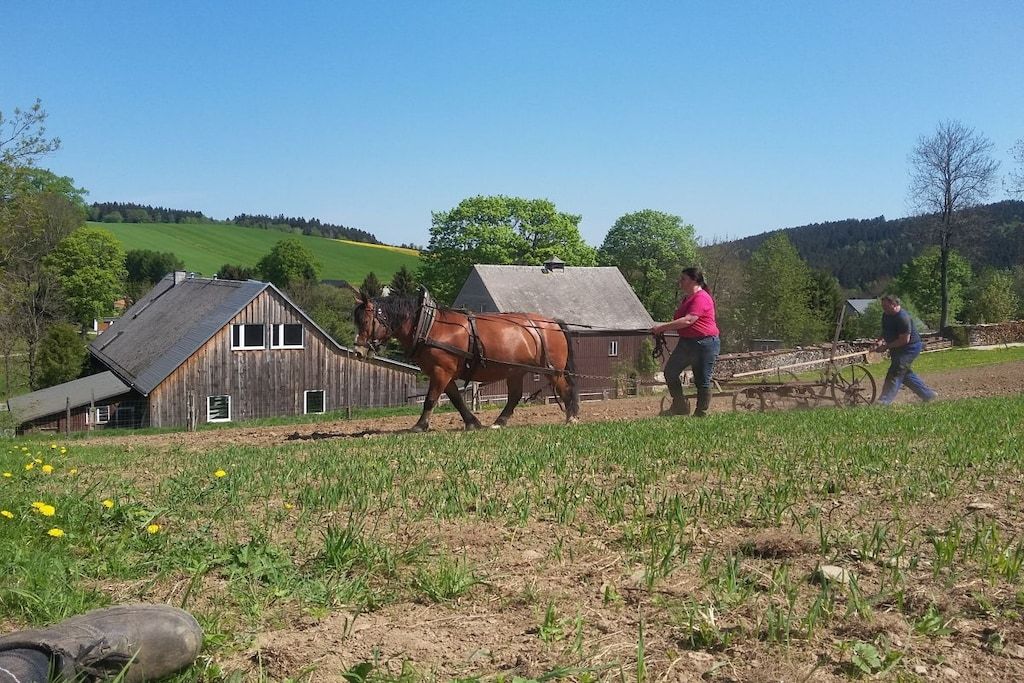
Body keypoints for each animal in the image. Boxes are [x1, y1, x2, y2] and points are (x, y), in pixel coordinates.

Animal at [346, 287, 580, 432]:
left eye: (365, 321)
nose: (358, 351)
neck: (429, 326)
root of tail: (552, 322)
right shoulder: (445, 373)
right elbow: (457, 400)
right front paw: (472, 422)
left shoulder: (441, 371)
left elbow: (430, 399)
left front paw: (420, 425)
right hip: (516, 371)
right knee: (514, 396)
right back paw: (499, 422)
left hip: (553, 370)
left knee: (565, 389)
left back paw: (572, 418)